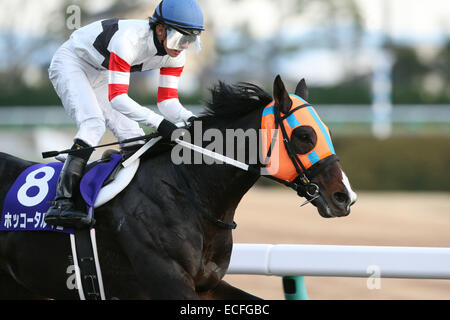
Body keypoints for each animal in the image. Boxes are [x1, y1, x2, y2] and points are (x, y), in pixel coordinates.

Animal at [0, 75, 356, 300]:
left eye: (327, 131)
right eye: (304, 136)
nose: (345, 197)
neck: (190, 195)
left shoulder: (207, 284)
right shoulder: (168, 284)